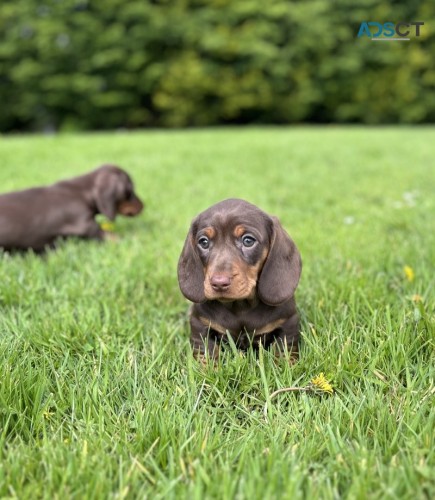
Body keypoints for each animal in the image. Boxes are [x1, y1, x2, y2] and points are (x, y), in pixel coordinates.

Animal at [0, 164, 144, 252]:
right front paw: (132, 238)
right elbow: (105, 233)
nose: (143, 206)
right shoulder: (85, 224)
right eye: (130, 191)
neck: (84, 192)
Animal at [178, 197, 304, 362]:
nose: (219, 283)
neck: (241, 306)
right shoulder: (200, 324)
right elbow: (206, 353)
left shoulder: (288, 323)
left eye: (248, 240)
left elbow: (284, 351)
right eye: (203, 242)